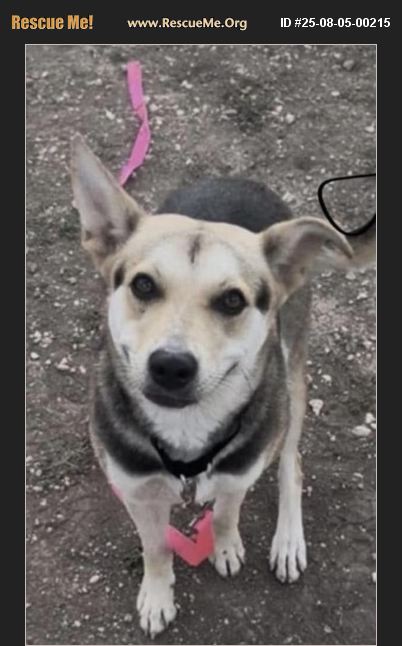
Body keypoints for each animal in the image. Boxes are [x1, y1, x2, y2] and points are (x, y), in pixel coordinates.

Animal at [71, 134, 374, 637]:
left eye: (232, 300)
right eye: (143, 285)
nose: (171, 366)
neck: (186, 430)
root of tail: (240, 180)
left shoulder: (239, 471)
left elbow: (230, 510)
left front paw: (225, 544)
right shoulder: (136, 492)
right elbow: (156, 547)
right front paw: (158, 595)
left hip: (290, 382)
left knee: (290, 461)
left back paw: (288, 538)